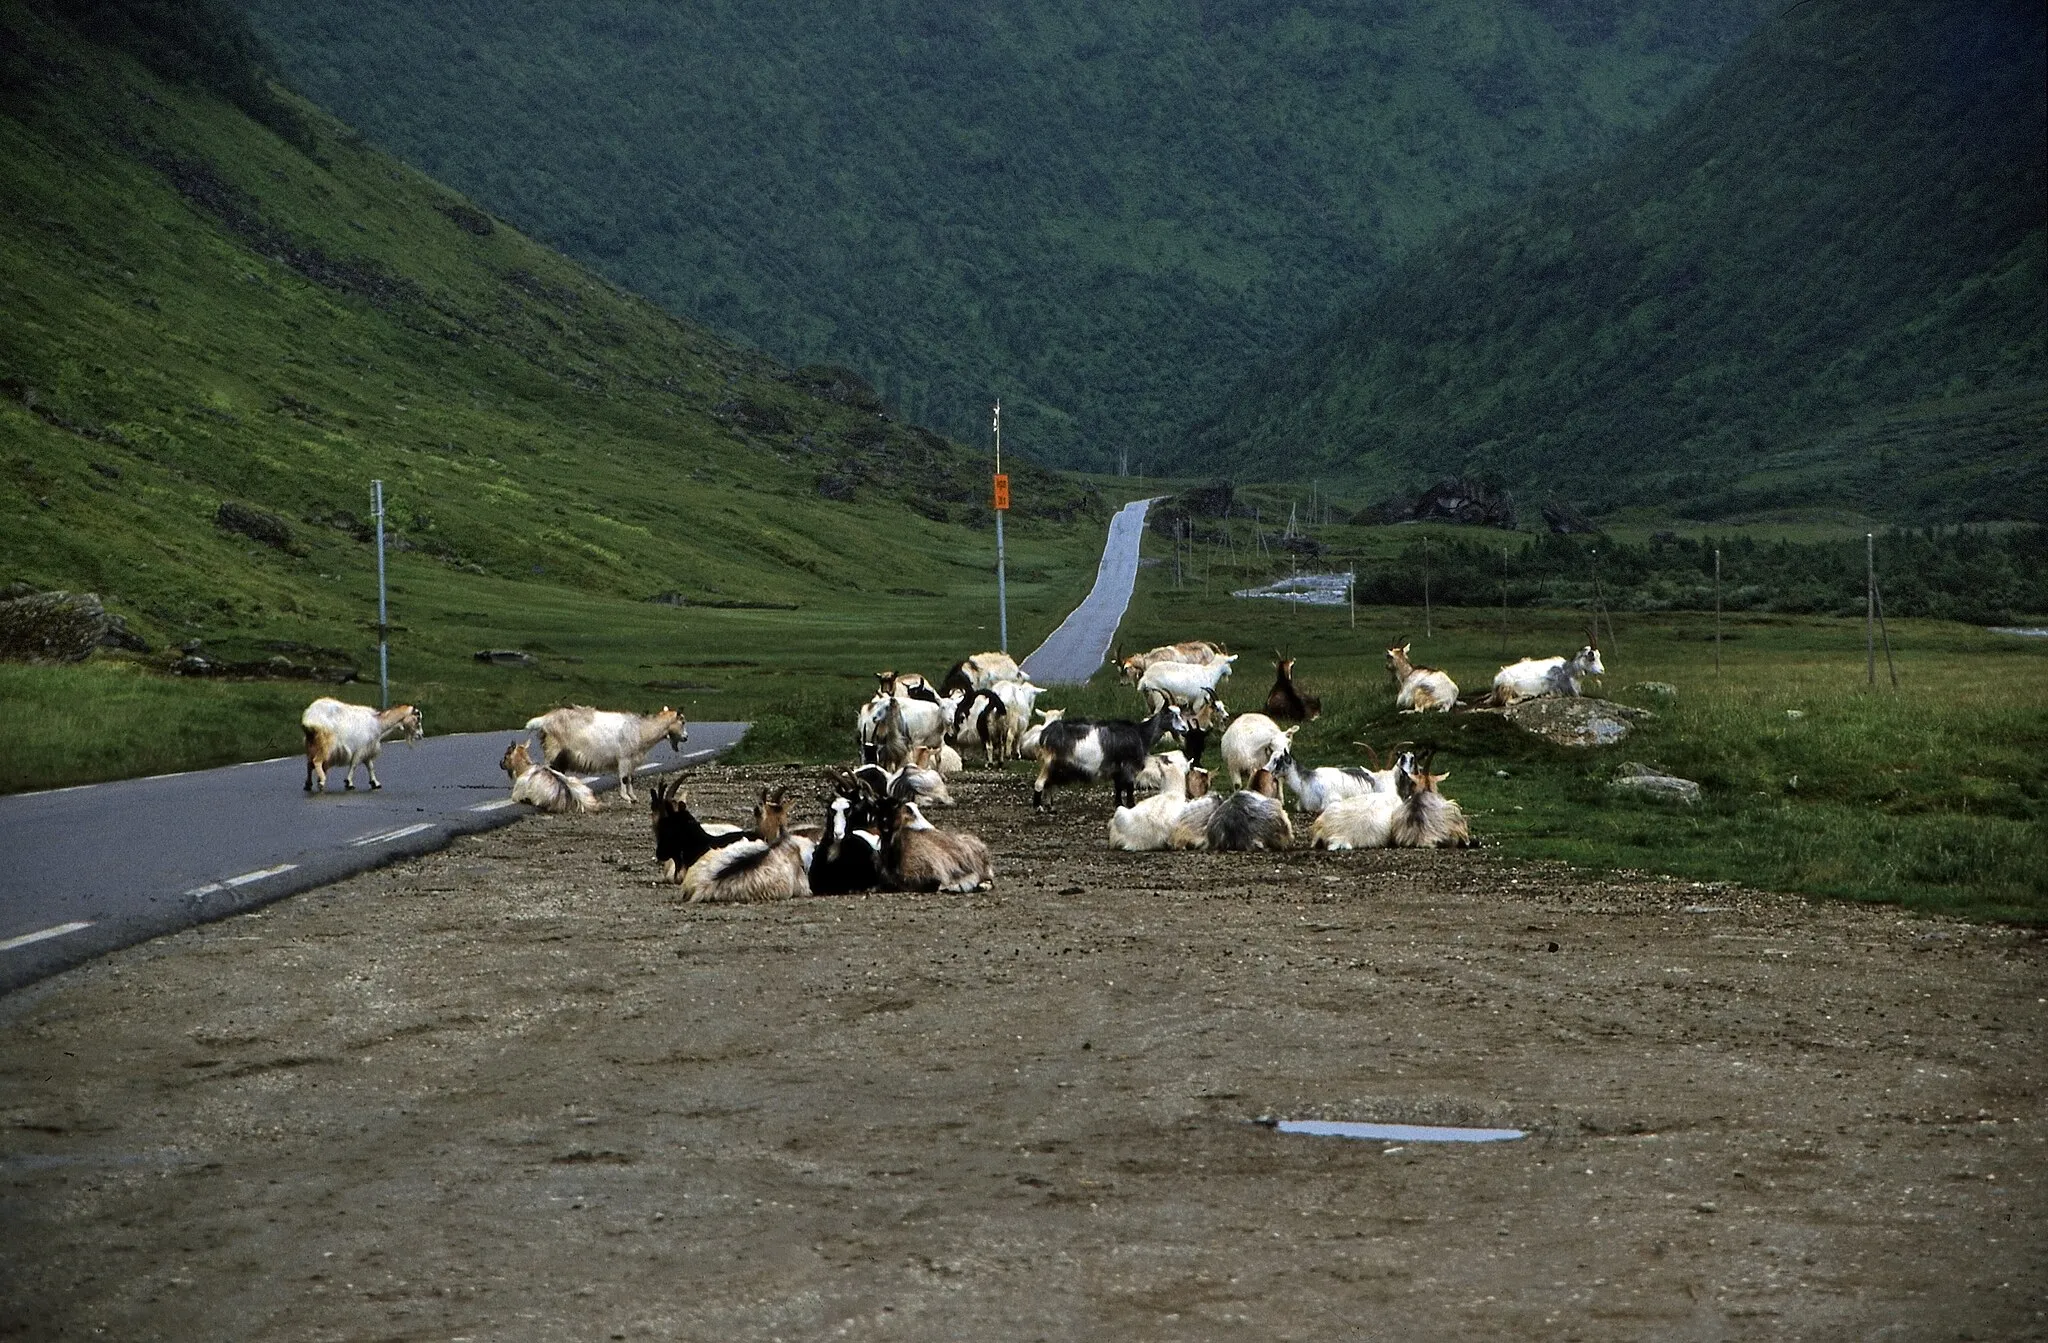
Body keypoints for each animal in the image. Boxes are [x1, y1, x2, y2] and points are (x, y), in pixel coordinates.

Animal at [520, 708, 688, 802]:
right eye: (683, 721)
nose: (686, 738)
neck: (641, 729)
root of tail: (544, 719)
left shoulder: (631, 760)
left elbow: (630, 778)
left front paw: (633, 796)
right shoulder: (624, 758)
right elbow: (624, 778)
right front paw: (626, 797)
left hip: (560, 754)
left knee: (557, 772)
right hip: (553, 749)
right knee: (544, 770)